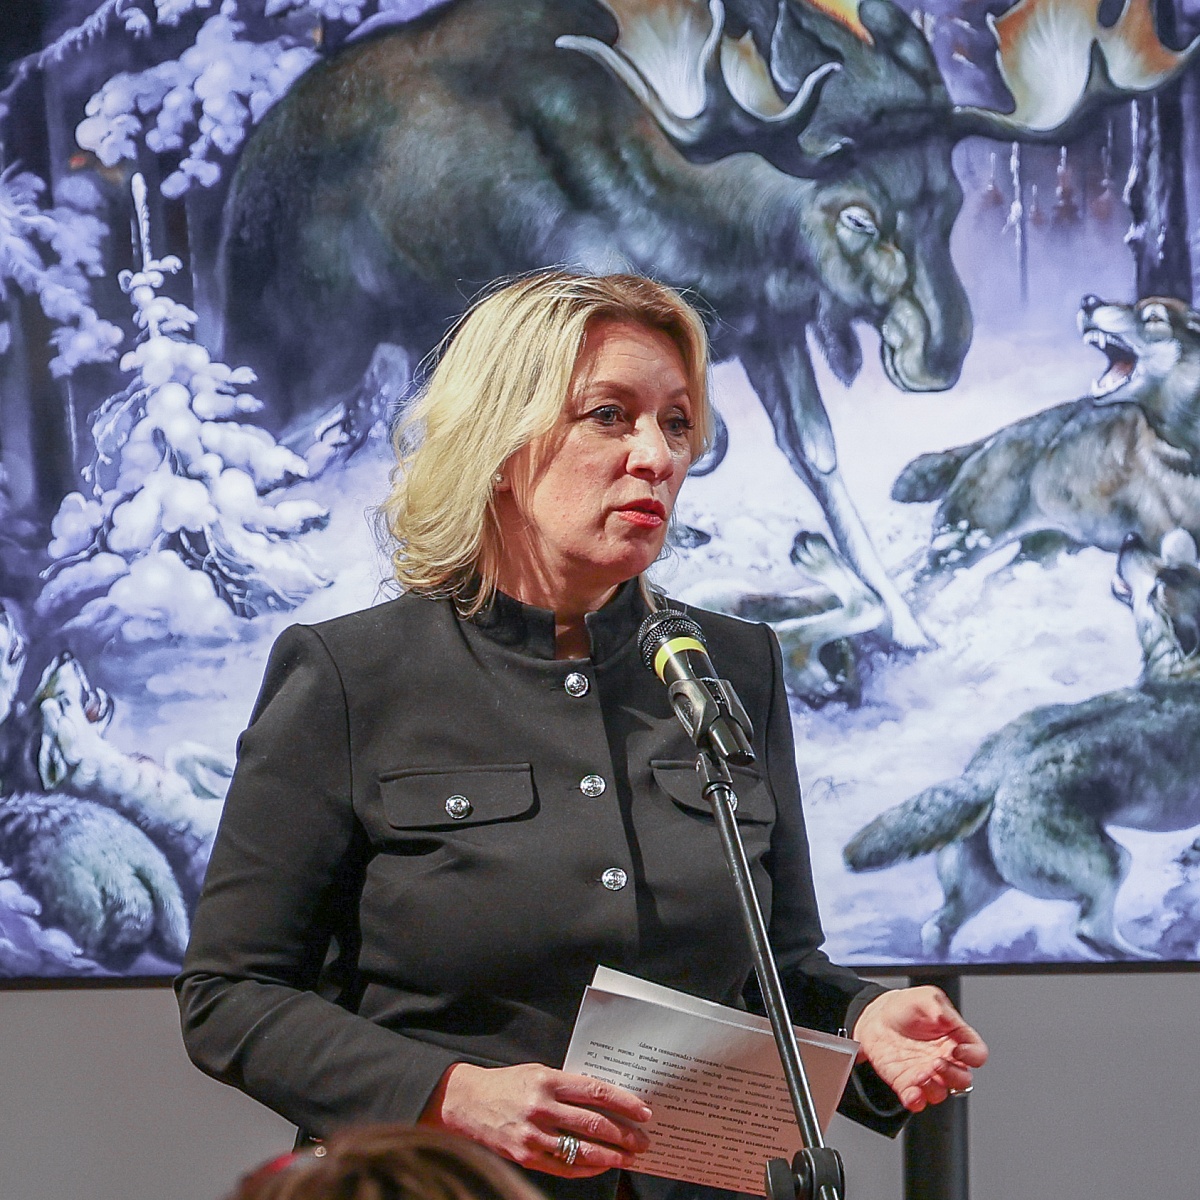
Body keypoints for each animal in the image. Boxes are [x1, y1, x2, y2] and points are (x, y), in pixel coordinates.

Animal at [218, 0, 1197, 649]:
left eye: (949, 202)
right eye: (857, 215)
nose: (943, 351)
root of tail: (240, 183)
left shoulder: (769, 329)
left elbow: (817, 459)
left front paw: (904, 619)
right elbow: (704, 447)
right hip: (299, 354)